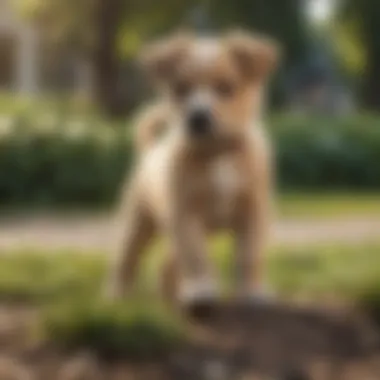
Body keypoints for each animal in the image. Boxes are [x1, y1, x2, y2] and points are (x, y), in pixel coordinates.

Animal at [106, 29, 280, 304]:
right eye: (181, 88)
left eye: (225, 87)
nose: (198, 117)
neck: (216, 153)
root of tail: (149, 150)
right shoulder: (185, 216)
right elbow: (197, 258)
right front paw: (202, 289)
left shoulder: (253, 213)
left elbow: (249, 257)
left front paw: (253, 292)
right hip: (137, 224)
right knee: (127, 262)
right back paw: (116, 298)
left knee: (166, 267)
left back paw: (170, 302)